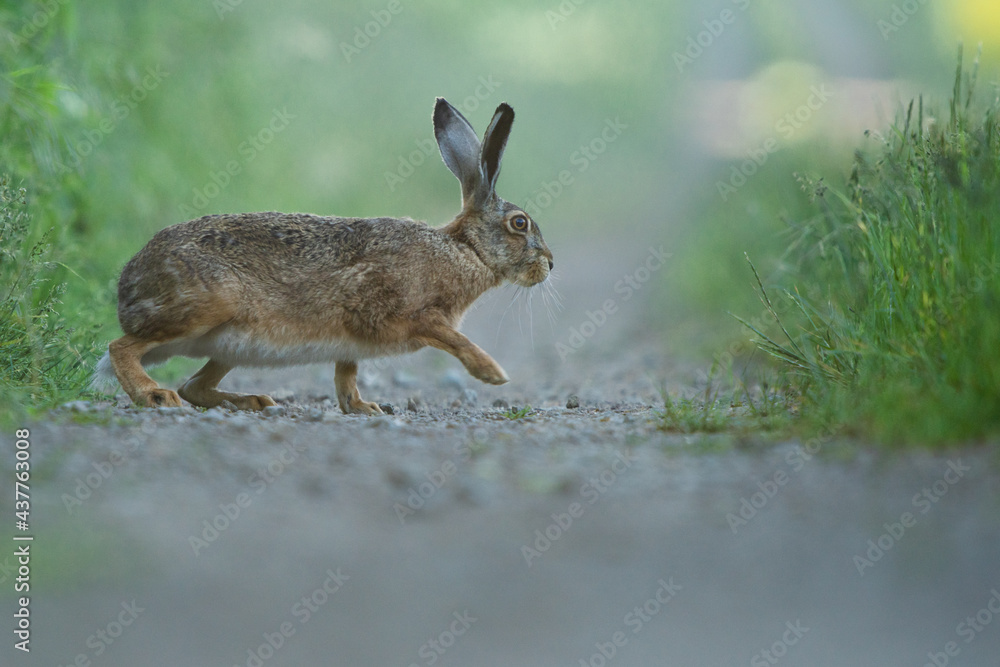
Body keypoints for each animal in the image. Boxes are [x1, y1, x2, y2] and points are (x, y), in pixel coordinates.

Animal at [94, 98, 554, 415]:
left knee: (193, 385)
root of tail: (128, 289)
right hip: (206, 306)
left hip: (225, 345)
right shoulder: (401, 311)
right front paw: (492, 373)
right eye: (519, 224)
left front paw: (364, 408)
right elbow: (450, 337)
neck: (466, 250)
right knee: (123, 347)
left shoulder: (353, 340)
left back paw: (251, 401)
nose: (550, 264)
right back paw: (154, 394)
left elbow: (346, 374)